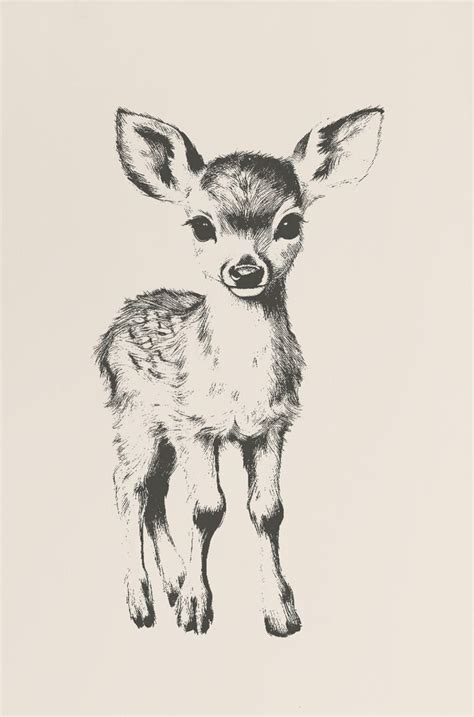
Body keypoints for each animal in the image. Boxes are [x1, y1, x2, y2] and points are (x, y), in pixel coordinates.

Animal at [95, 106, 383, 637]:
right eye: (200, 225)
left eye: (289, 223)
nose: (246, 270)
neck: (240, 389)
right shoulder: (195, 426)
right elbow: (207, 509)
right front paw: (196, 609)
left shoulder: (272, 426)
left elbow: (268, 512)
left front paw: (280, 613)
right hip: (134, 415)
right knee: (129, 487)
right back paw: (142, 602)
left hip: (160, 430)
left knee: (155, 493)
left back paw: (169, 584)